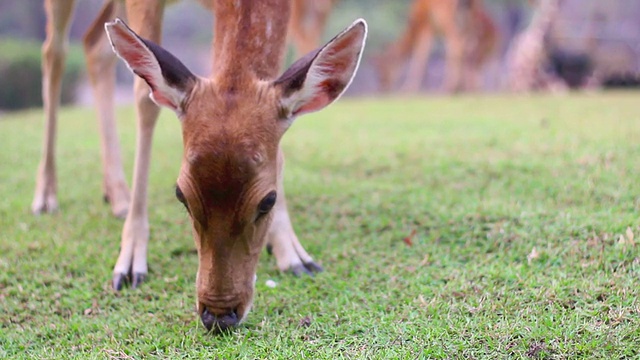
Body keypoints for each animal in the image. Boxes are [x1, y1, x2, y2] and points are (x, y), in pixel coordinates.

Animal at [35, 0, 364, 332]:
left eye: (267, 201)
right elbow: (145, 100)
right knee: (54, 50)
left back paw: (117, 196)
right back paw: (46, 196)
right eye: (181, 195)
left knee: (94, 45)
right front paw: (129, 264)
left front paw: (294, 254)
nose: (218, 315)